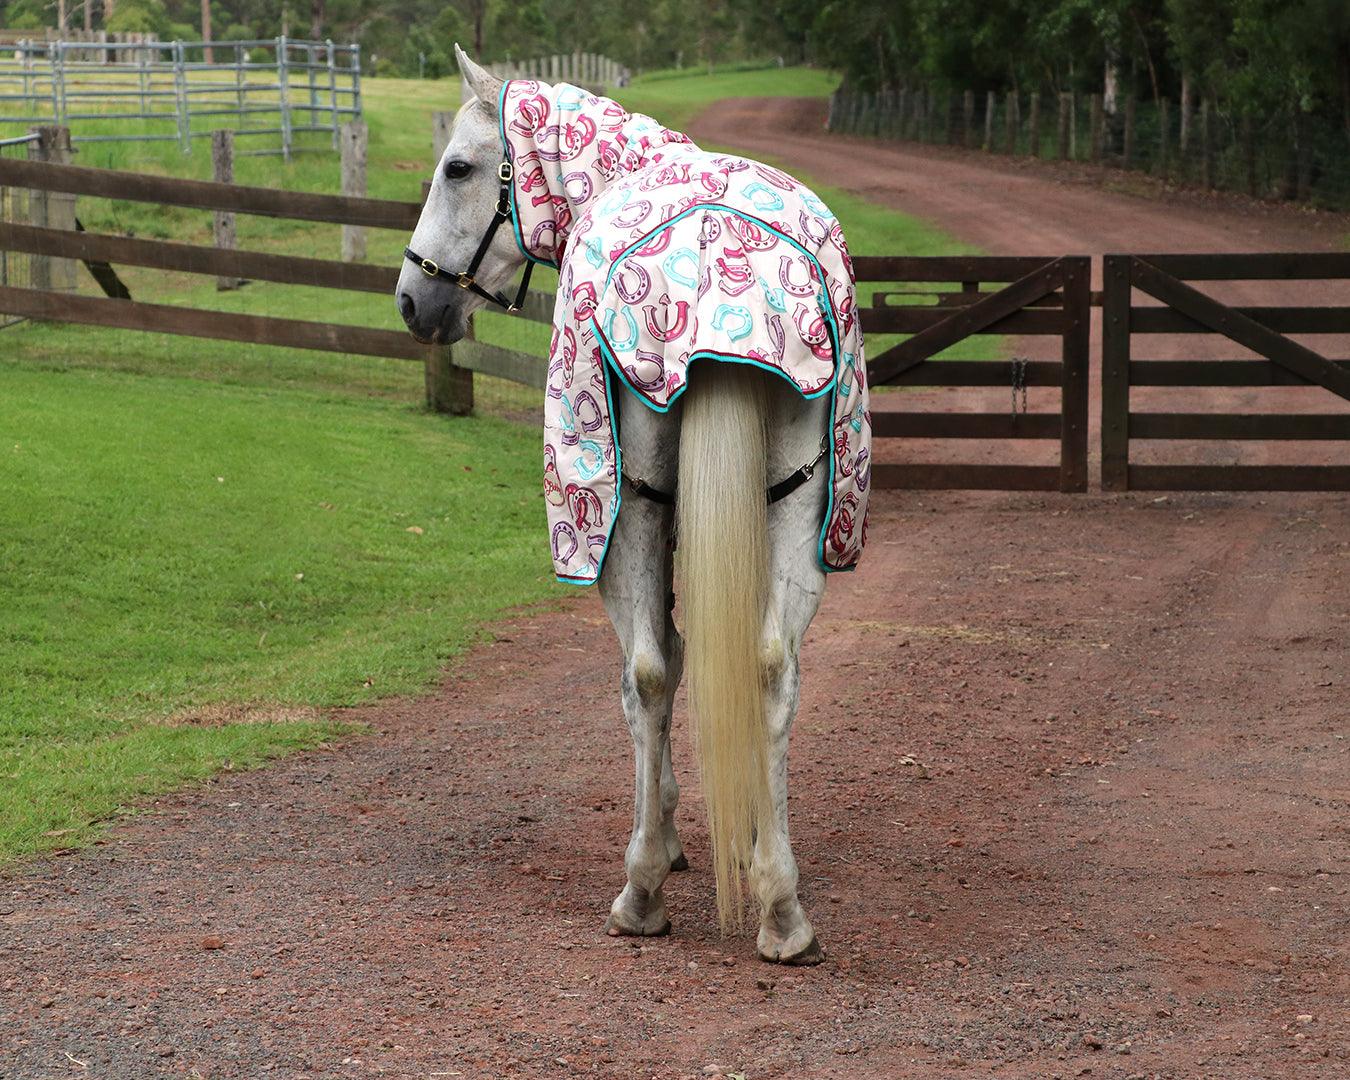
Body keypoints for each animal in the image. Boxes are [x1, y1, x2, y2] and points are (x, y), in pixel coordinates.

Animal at [397, 45, 871, 965]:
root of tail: (726, 273)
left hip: (626, 509)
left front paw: (673, 838)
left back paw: (641, 890)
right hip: (801, 502)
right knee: (772, 668)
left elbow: (658, 667)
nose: (412, 300)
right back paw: (782, 909)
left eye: (457, 167)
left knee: (649, 672)